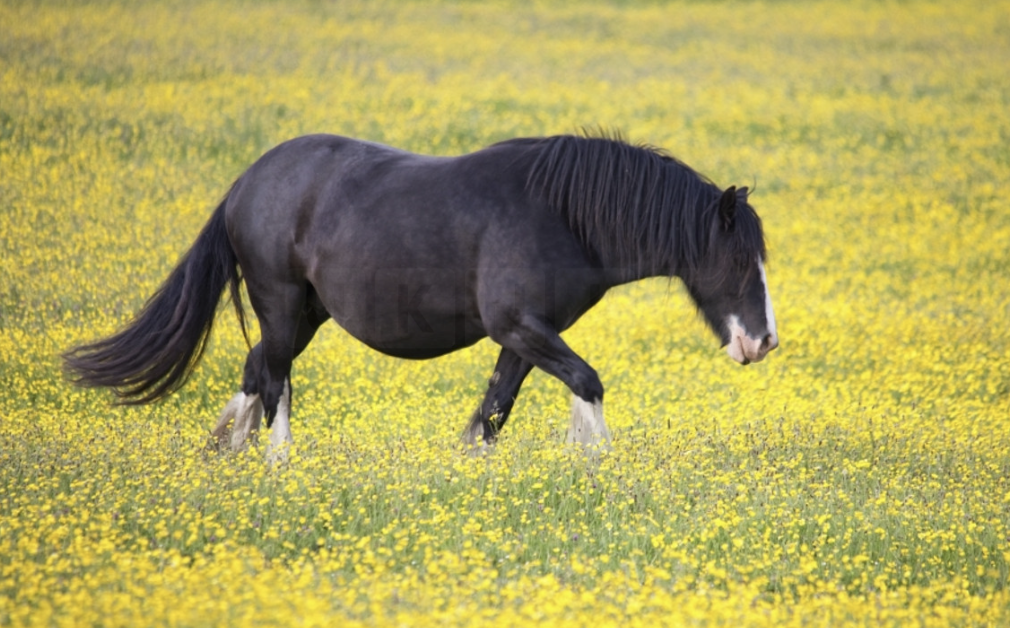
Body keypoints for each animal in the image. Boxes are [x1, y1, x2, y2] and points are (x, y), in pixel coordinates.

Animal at [64, 133, 778, 457]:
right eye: (738, 259)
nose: (763, 342)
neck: (562, 215)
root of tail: (246, 182)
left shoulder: (523, 337)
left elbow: (493, 413)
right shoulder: (519, 326)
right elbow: (587, 383)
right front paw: (597, 465)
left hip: (305, 314)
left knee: (255, 370)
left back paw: (225, 453)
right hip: (282, 305)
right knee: (274, 380)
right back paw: (277, 465)